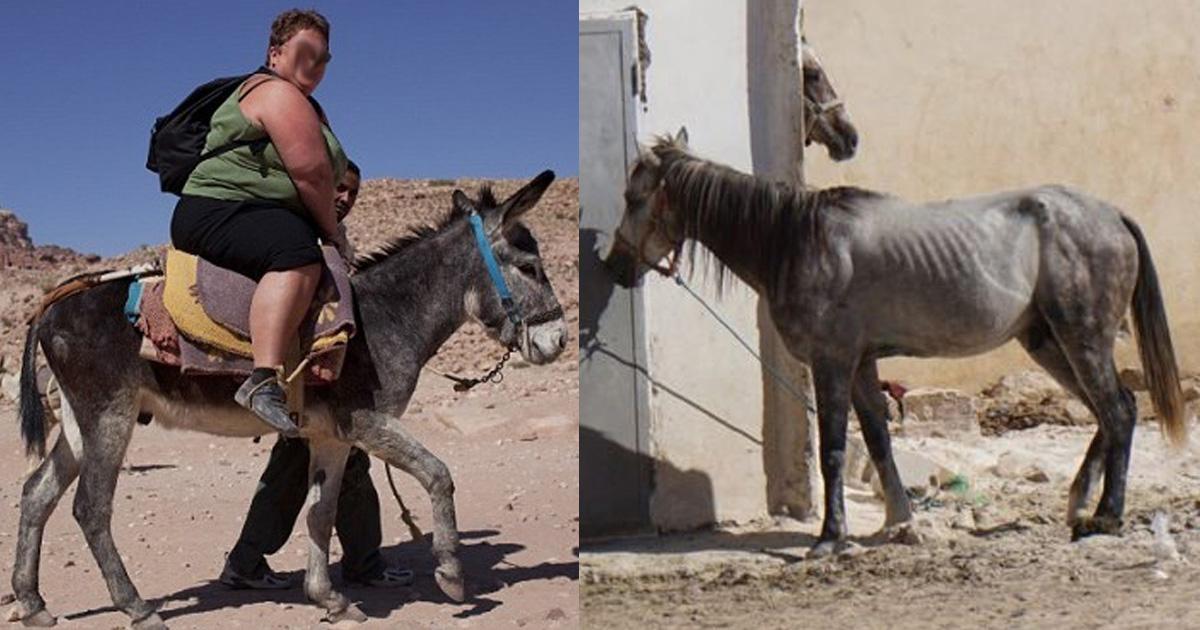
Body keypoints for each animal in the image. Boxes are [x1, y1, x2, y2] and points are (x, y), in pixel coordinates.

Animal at [12, 169, 566, 624]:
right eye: (529, 266)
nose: (558, 340)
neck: (386, 313)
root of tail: (53, 302)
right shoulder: (368, 422)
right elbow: (438, 474)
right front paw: (450, 573)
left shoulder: (332, 436)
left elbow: (320, 512)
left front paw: (329, 598)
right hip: (110, 414)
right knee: (90, 508)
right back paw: (137, 606)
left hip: (80, 419)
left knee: (37, 492)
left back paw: (33, 601)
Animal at [604, 131, 1185, 554]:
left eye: (634, 199)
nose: (613, 266)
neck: (798, 242)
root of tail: (1110, 214)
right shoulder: (861, 364)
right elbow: (879, 440)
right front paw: (898, 523)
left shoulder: (832, 362)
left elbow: (835, 451)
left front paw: (830, 539)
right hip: (1046, 342)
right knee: (1112, 412)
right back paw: (1079, 504)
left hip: (1080, 338)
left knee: (1118, 411)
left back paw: (1105, 517)